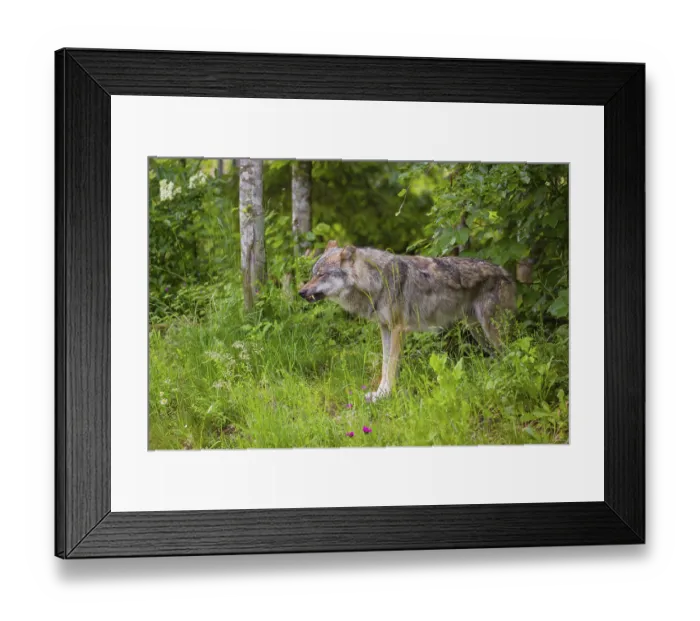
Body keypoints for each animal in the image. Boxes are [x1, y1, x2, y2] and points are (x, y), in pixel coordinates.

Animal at [299, 241, 516, 402]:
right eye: (312, 274)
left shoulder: (398, 329)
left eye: (321, 275)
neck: (376, 281)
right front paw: (378, 394)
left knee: (511, 353)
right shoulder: (385, 329)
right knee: (500, 355)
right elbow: (385, 364)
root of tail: (505, 272)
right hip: (478, 332)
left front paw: (386, 394)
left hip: (491, 329)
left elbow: (391, 366)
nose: (301, 292)